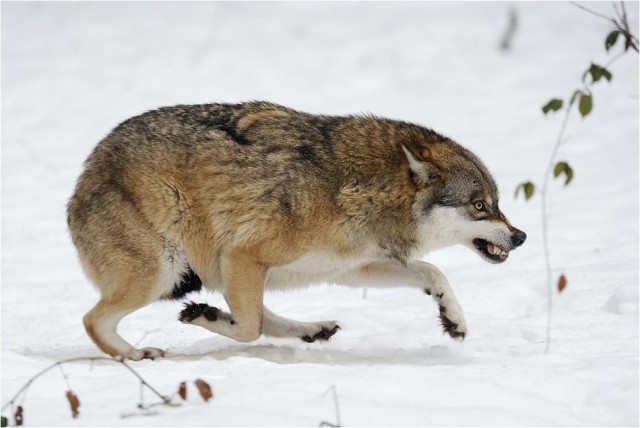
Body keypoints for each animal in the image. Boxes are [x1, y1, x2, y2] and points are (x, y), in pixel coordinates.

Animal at [67, 102, 524, 360]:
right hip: (164, 272)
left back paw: (309, 329)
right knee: (92, 320)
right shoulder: (244, 254)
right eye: (479, 205)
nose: (520, 237)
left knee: (260, 314)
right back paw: (138, 353)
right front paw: (207, 319)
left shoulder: (349, 269)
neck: (359, 192)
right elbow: (247, 330)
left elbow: (432, 271)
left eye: (496, 203)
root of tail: (85, 173)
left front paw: (453, 318)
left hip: (208, 270)